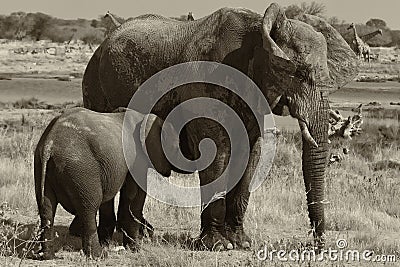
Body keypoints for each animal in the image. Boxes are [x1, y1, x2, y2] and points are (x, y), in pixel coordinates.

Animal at [33, 107, 177, 260]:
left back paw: (48, 256)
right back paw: (99, 255)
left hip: (42, 167)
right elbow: (134, 195)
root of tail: (49, 144)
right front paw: (135, 249)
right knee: (89, 208)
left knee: (46, 209)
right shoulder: (136, 159)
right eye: (176, 146)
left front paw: (109, 242)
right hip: (81, 169)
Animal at [81, 3, 356, 251]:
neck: (260, 30)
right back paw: (111, 238)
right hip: (94, 86)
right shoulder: (206, 83)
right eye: (300, 74)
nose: (318, 247)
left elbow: (250, 155)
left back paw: (142, 233)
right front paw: (217, 246)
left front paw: (242, 243)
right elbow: (217, 153)